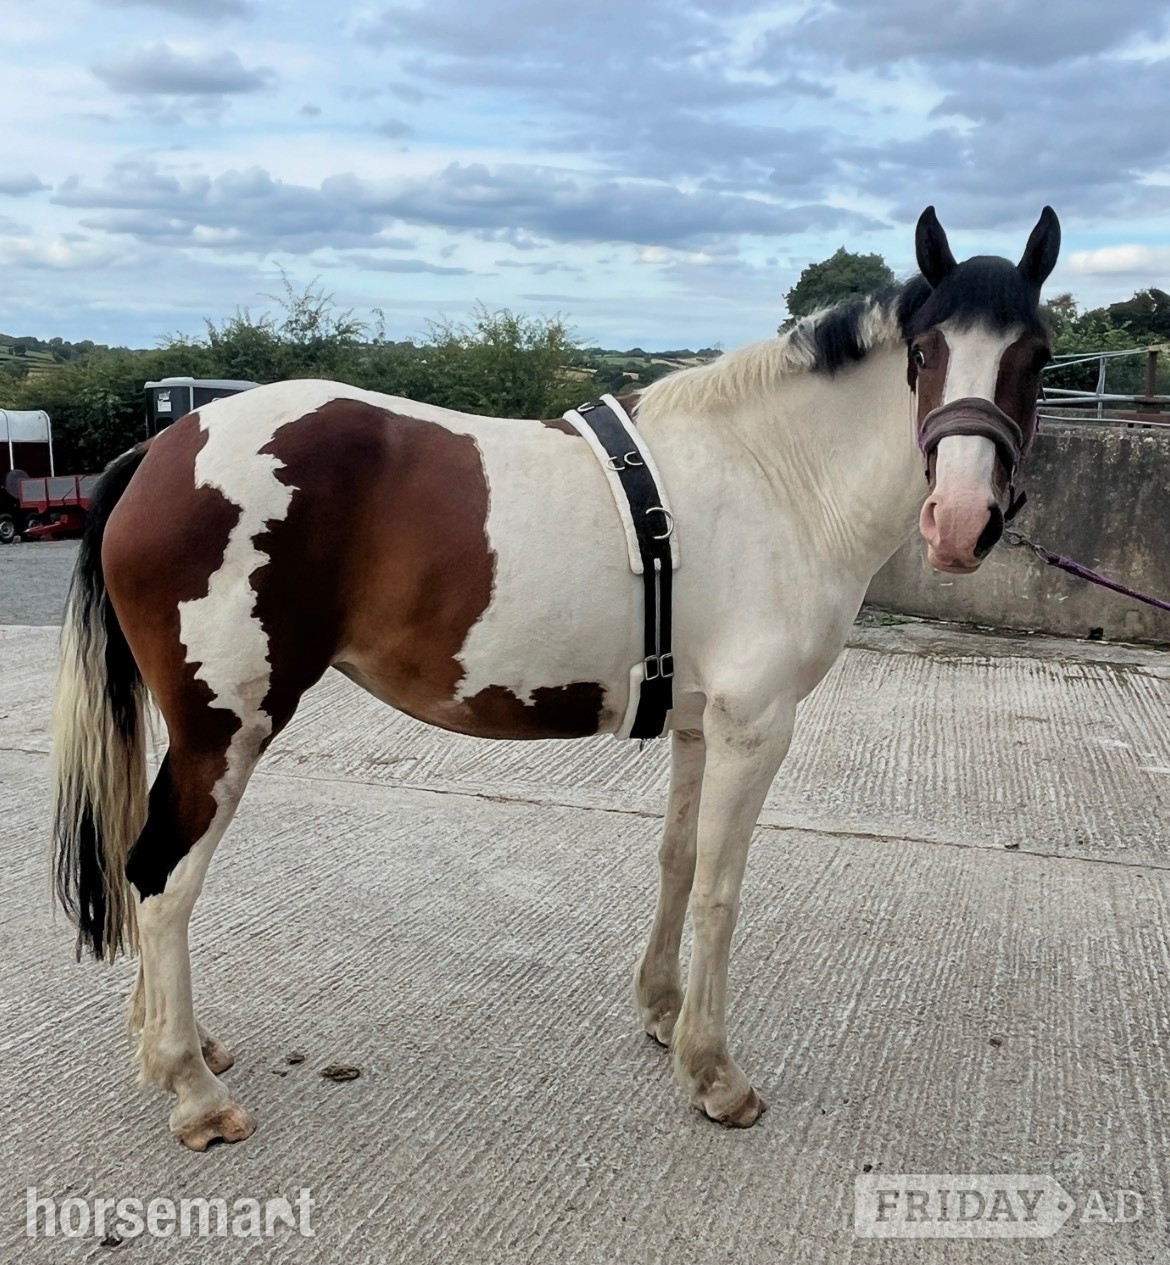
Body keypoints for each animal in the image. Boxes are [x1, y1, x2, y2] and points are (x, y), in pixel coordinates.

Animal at [51, 205, 1060, 1150]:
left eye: (1038, 357)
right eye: (925, 351)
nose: (960, 521)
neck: (774, 475)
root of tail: (162, 451)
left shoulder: (700, 722)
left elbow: (677, 862)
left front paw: (663, 1015)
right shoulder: (755, 725)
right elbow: (721, 890)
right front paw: (715, 1074)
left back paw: (179, 1048)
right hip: (225, 730)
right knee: (162, 879)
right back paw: (192, 1089)